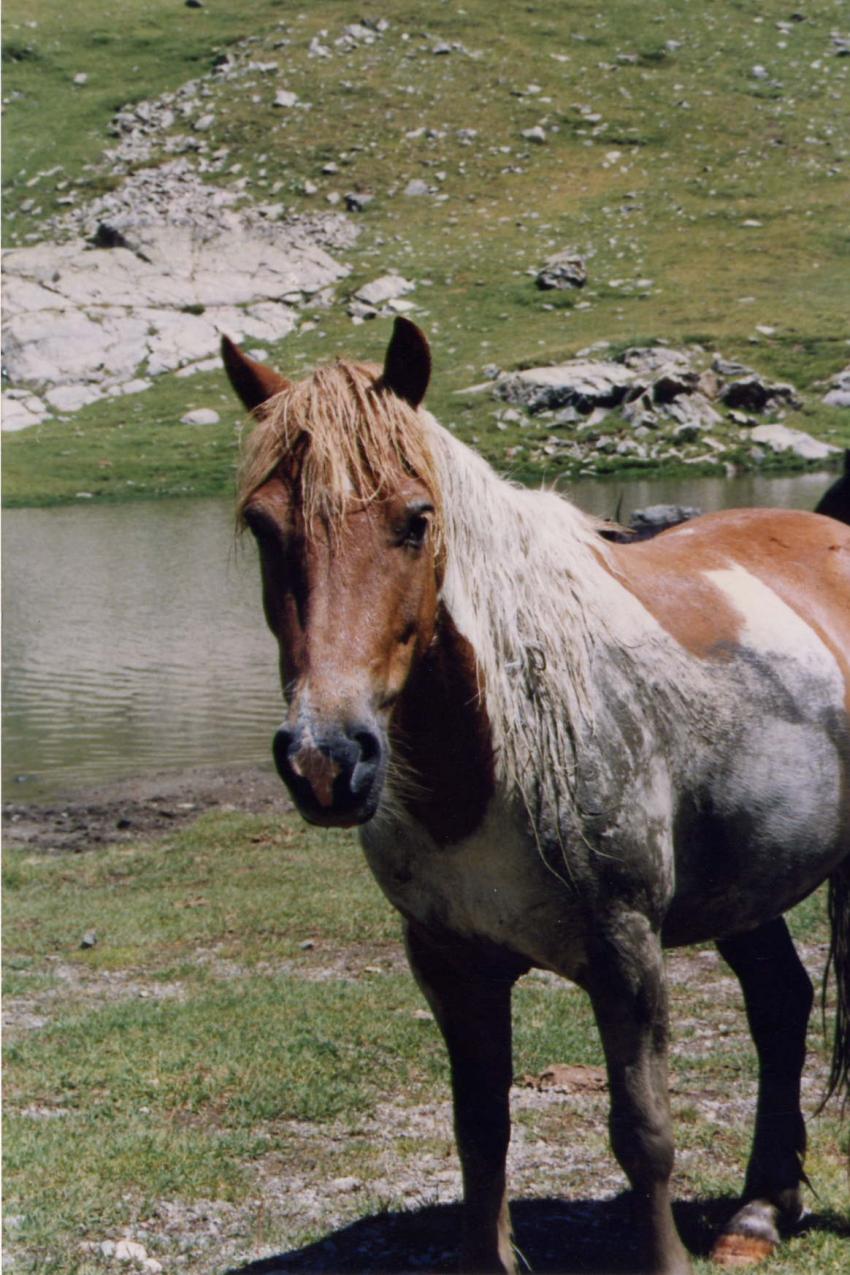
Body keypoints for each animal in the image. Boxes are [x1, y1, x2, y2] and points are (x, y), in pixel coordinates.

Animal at [222, 318, 850, 1275]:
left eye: (416, 520)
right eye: (264, 525)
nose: (326, 760)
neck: (497, 748)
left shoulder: (626, 949)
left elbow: (643, 1134)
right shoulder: (451, 961)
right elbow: (481, 1131)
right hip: (750, 883)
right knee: (779, 1004)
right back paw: (758, 1211)